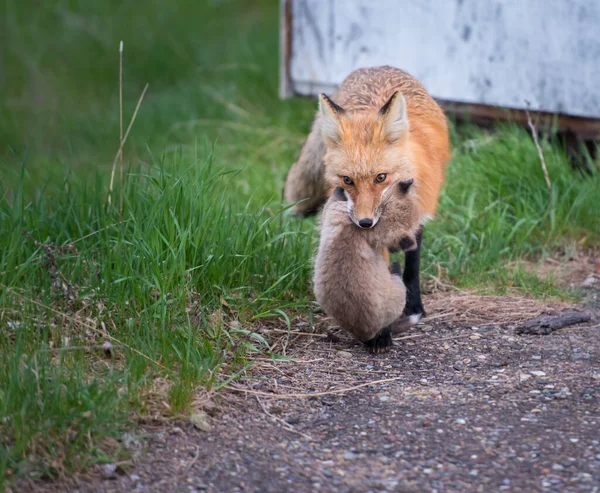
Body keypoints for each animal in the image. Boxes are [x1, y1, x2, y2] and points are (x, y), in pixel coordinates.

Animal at [282, 64, 450, 320]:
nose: (364, 222)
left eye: (380, 177)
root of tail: (375, 66)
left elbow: (412, 266)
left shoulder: (419, 212)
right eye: (347, 180)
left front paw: (413, 306)